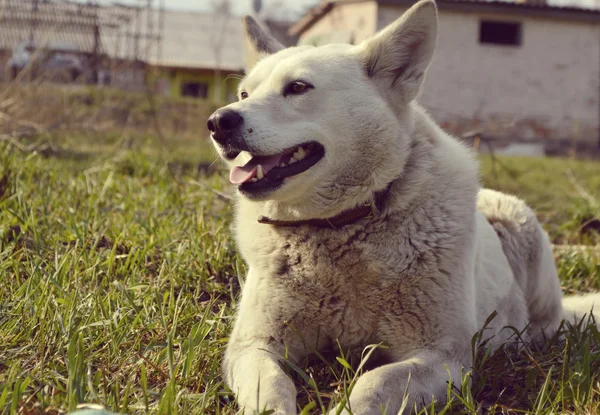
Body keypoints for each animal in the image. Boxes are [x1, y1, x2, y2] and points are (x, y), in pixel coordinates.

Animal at [205, 1, 596, 414]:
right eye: (243, 93)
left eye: (297, 87)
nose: (218, 121)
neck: (340, 226)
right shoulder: (252, 346)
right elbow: (271, 387)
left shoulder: (443, 356)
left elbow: (375, 382)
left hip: (518, 225)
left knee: (543, 326)